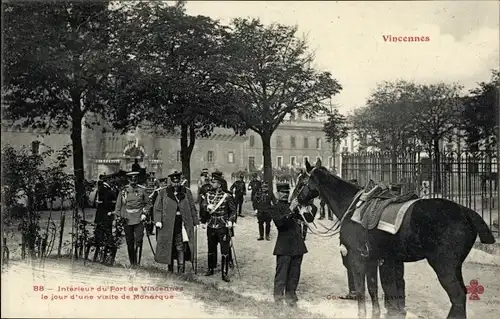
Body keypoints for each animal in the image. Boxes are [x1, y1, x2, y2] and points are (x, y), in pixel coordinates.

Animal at [294, 160, 494, 319]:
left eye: (302, 182)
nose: (296, 205)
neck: (352, 206)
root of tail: (466, 212)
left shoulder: (357, 258)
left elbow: (361, 290)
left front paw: (362, 313)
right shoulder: (372, 259)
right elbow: (373, 288)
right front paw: (375, 313)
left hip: (444, 266)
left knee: (458, 296)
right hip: (455, 266)